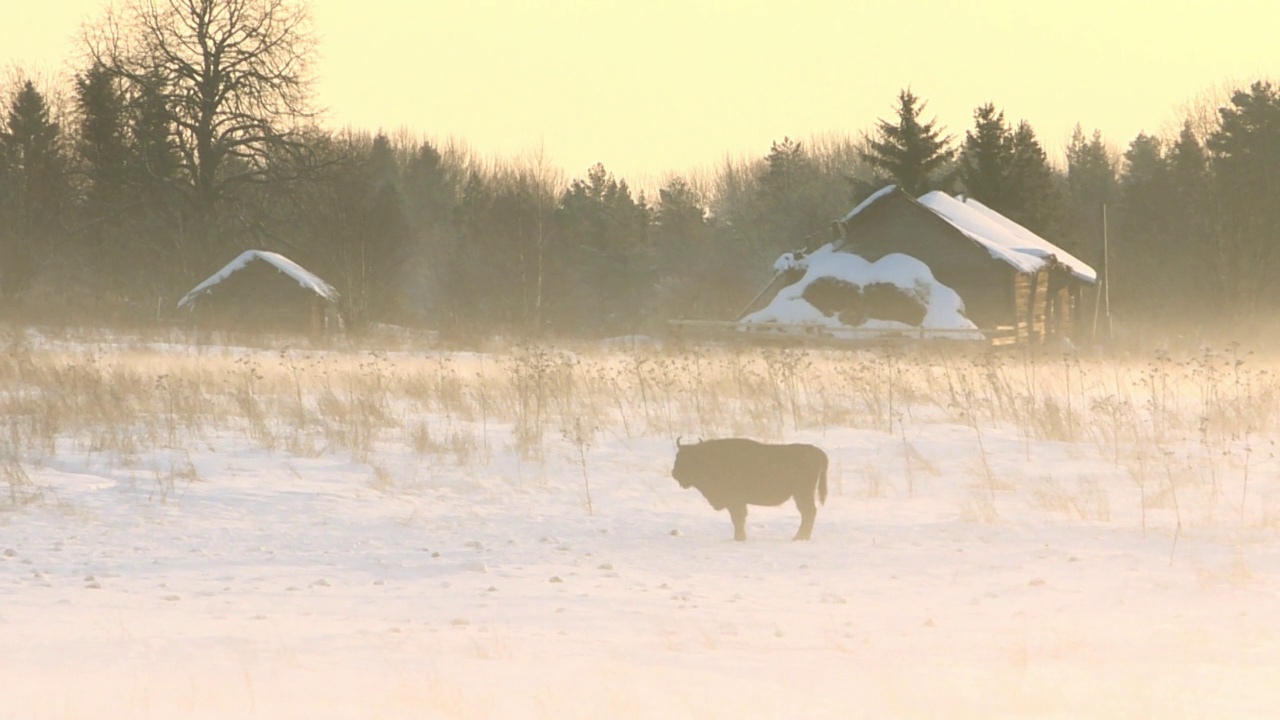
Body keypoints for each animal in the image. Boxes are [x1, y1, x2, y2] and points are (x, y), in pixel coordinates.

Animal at [670, 438, 829, 538]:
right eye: (678, 455)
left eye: (689, 458)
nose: (674, 473)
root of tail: (817, 452)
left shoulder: (735, 502)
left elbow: (738, 518)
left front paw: (739, 538)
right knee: (808, 513)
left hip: (802, 494)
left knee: (809, 513)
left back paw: (799, 537)